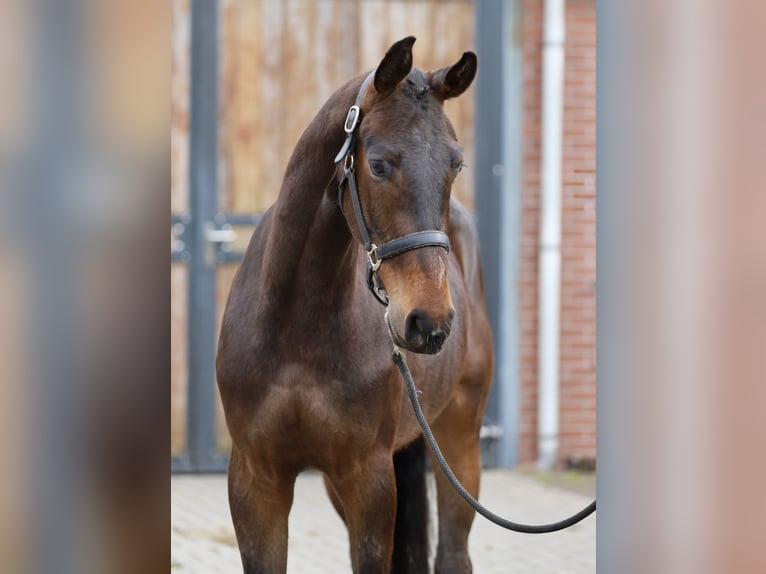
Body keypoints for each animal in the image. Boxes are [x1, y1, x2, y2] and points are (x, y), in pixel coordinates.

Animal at [216, 36, 494, 574]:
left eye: (457, 164)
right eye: (379, 163)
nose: (429, 322)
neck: (296, 327)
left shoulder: (369, 477)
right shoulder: (256, 480)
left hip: (459, 442)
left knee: (454, 552)